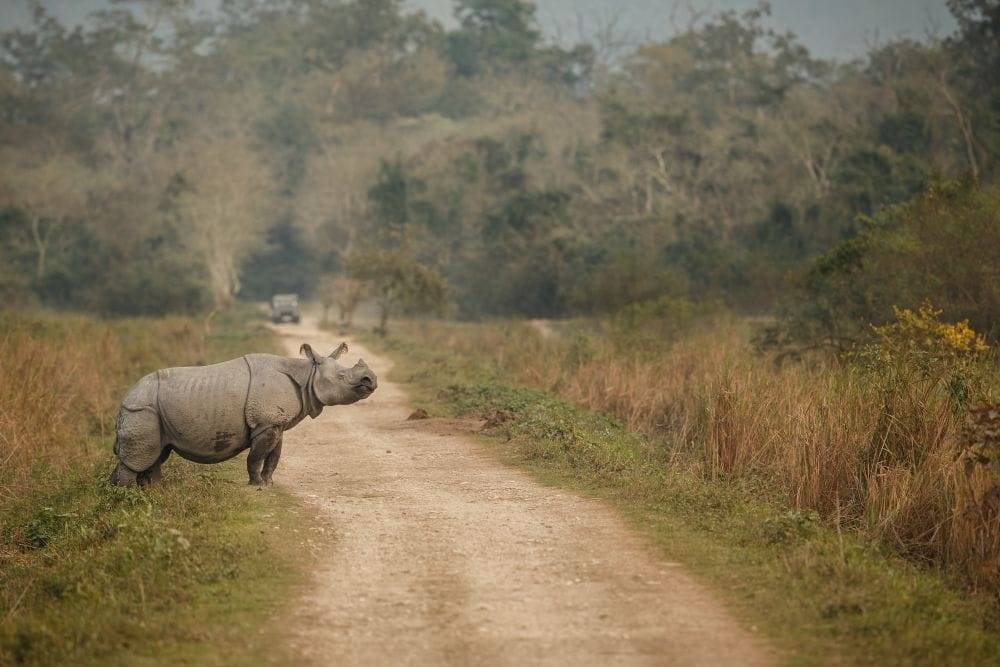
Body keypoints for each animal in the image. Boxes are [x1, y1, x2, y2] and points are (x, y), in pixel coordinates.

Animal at [110, 342, 376, 487]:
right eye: (342, 377)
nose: (371, 380)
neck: (307, 376)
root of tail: (125, 398)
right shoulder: (265, 423)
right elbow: (256, 457)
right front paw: (256, 485)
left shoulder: (275, 424)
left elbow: (274, 457)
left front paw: (268, 484)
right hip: (142, 409)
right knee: (140, 458)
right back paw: (126, 497)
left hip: (150, 411)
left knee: (155, 455)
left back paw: (152, 493)